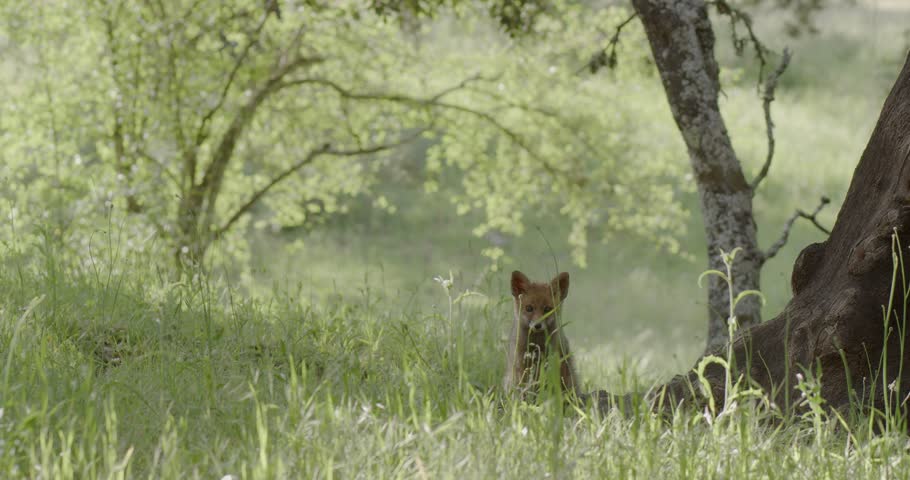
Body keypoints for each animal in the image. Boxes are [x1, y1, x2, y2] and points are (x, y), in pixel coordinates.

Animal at [504, 270, 581, 400]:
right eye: (529, 308)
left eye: (547, 309)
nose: (537, 325)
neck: (536, 345)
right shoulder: (521, 366)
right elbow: (523, 390)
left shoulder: (552, 364)